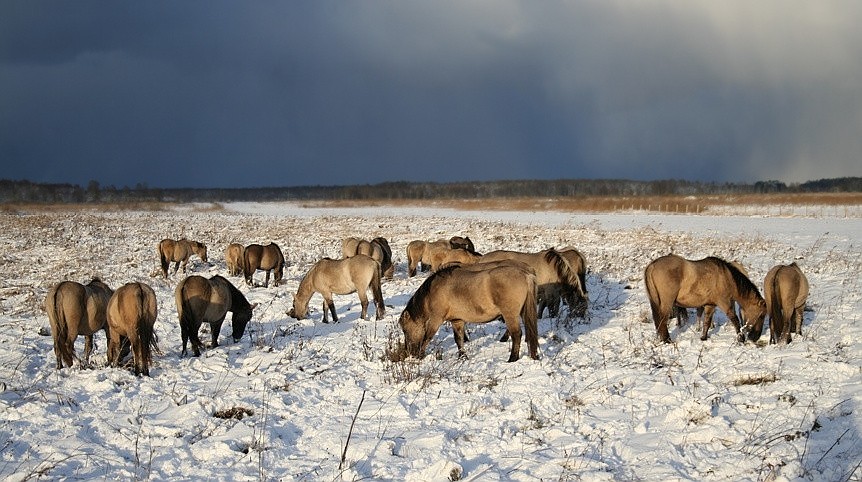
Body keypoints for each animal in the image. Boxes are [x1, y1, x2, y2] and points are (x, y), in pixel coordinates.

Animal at [400, 264, 540, 362]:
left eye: (405, 330)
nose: (408, 352)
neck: (434, 290)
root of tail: (526, 275)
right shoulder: (457, 320)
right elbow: (458, 339)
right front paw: (462, 357)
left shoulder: (436, 319)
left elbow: (427, 337)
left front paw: (420, 356)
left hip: (510, 315)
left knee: (516, 334)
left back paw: (512, 359)